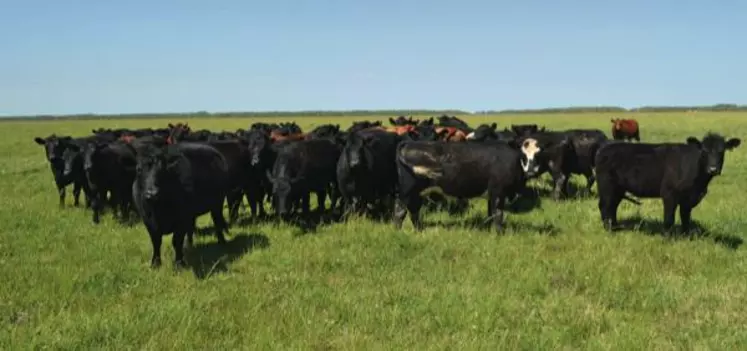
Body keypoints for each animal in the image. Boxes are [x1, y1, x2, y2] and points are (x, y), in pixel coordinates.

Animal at [596, 133, 744, 235]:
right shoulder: (669, 193)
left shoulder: (688, 198)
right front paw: (667, 237)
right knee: (605, 206)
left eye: (722, 151)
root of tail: (604, 148)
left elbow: (685, 217)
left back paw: (615, 226)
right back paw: (609, 229)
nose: (713, 169)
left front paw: (686, 235)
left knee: (612, 206)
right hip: (606, 186)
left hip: (618, 189)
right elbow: (669, 219)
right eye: (704, 151)